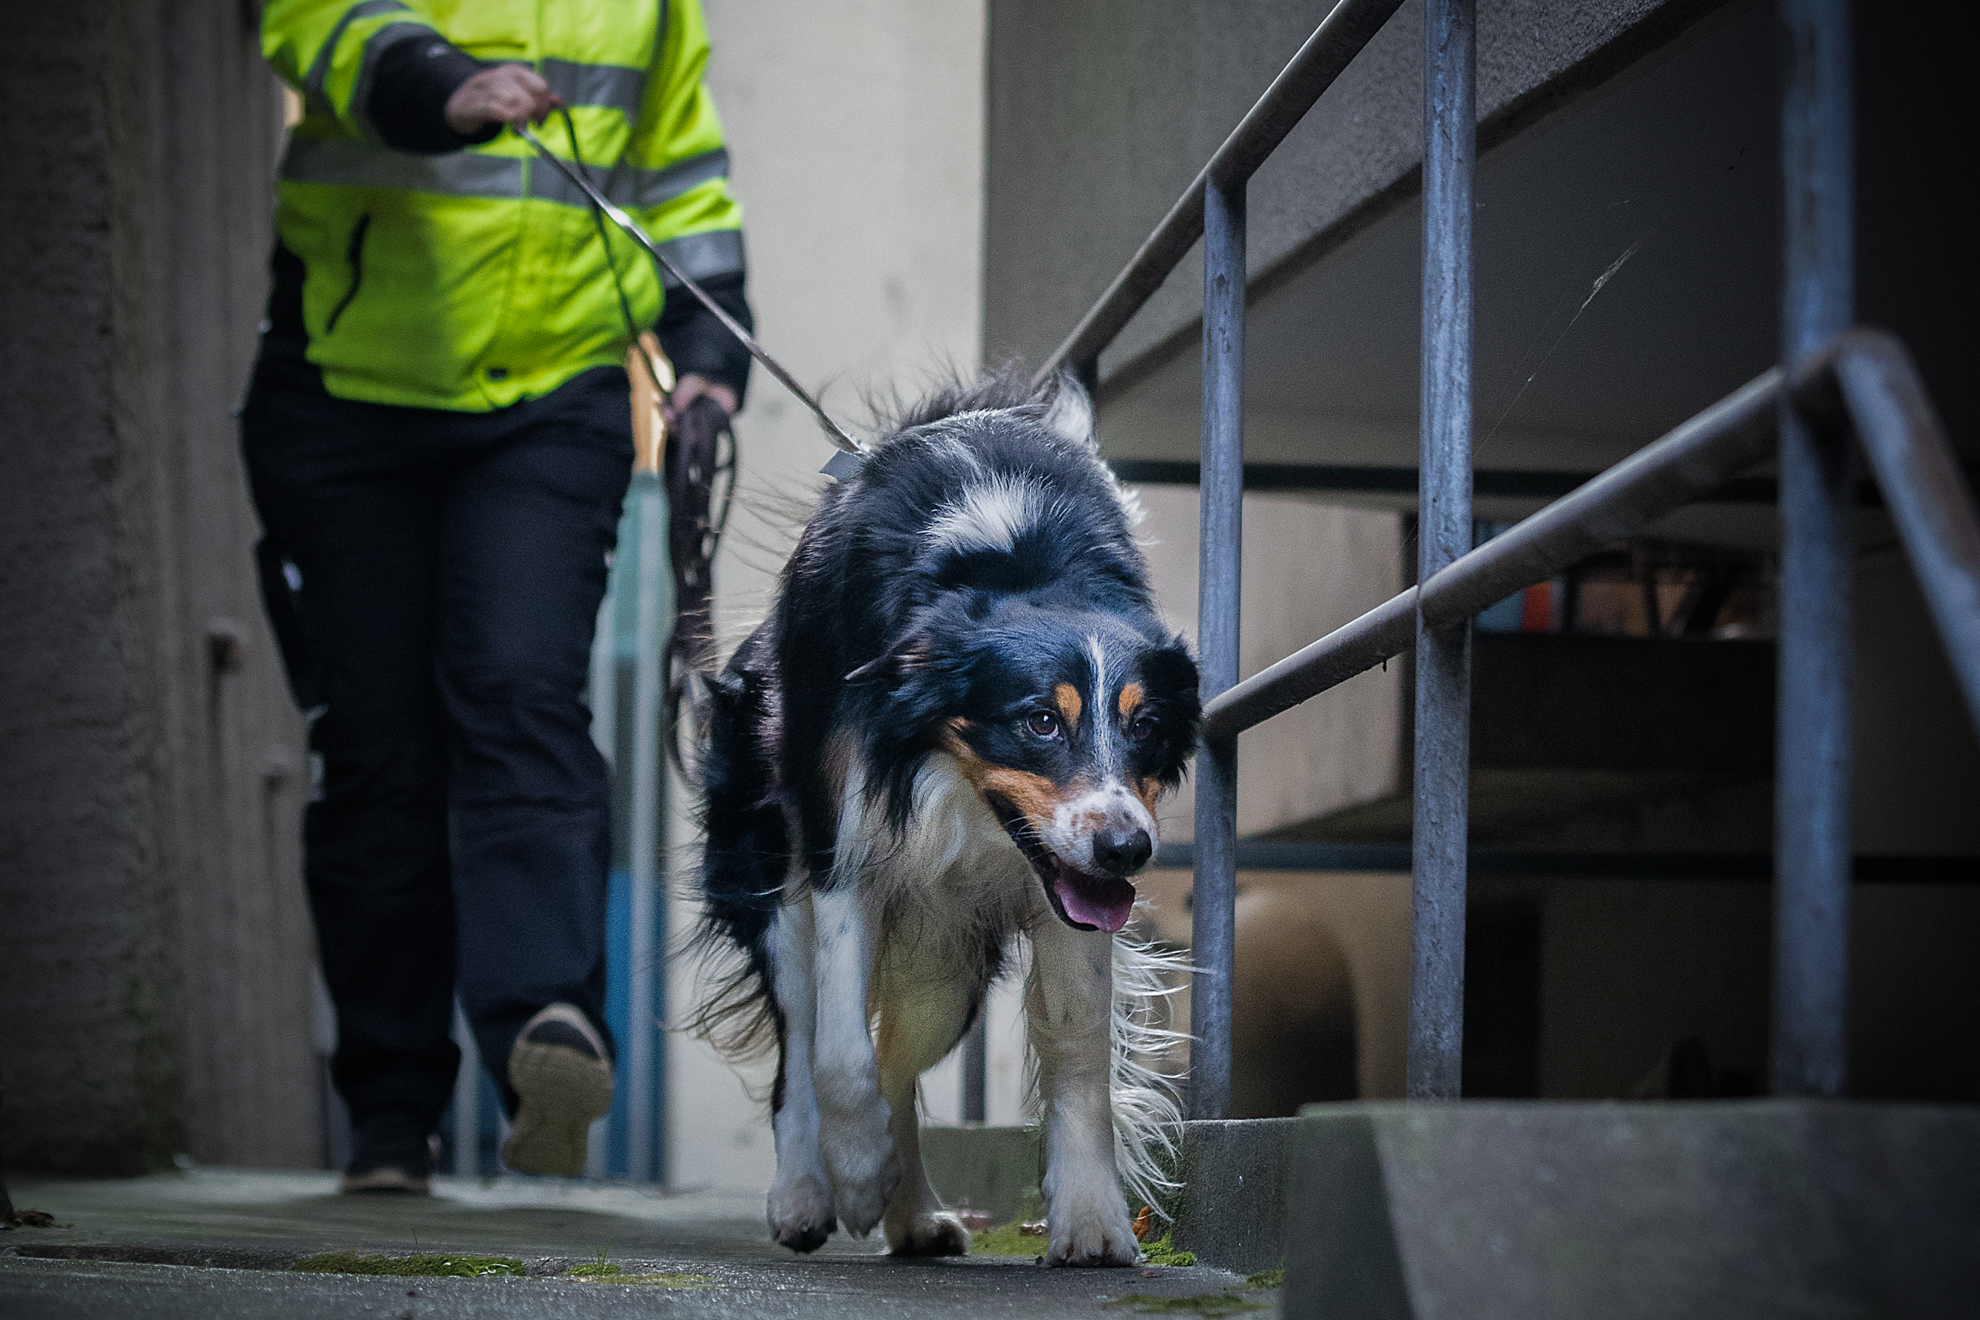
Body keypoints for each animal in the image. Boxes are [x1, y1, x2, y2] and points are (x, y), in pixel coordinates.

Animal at [689, 366, 1195, 1266]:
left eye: (1146, 726)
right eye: (1039, 721)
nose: (1128, 850)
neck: (1014, 559)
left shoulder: (1067, 886)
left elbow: (1078, 1044)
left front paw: (1092, 1219)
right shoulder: (845, 842)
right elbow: (839, 1053)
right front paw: (854, 1174)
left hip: (948, 956)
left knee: (898, 1060)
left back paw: (913, 1213)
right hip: (772, 879)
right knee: (805, 1039)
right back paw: (810, 1192)